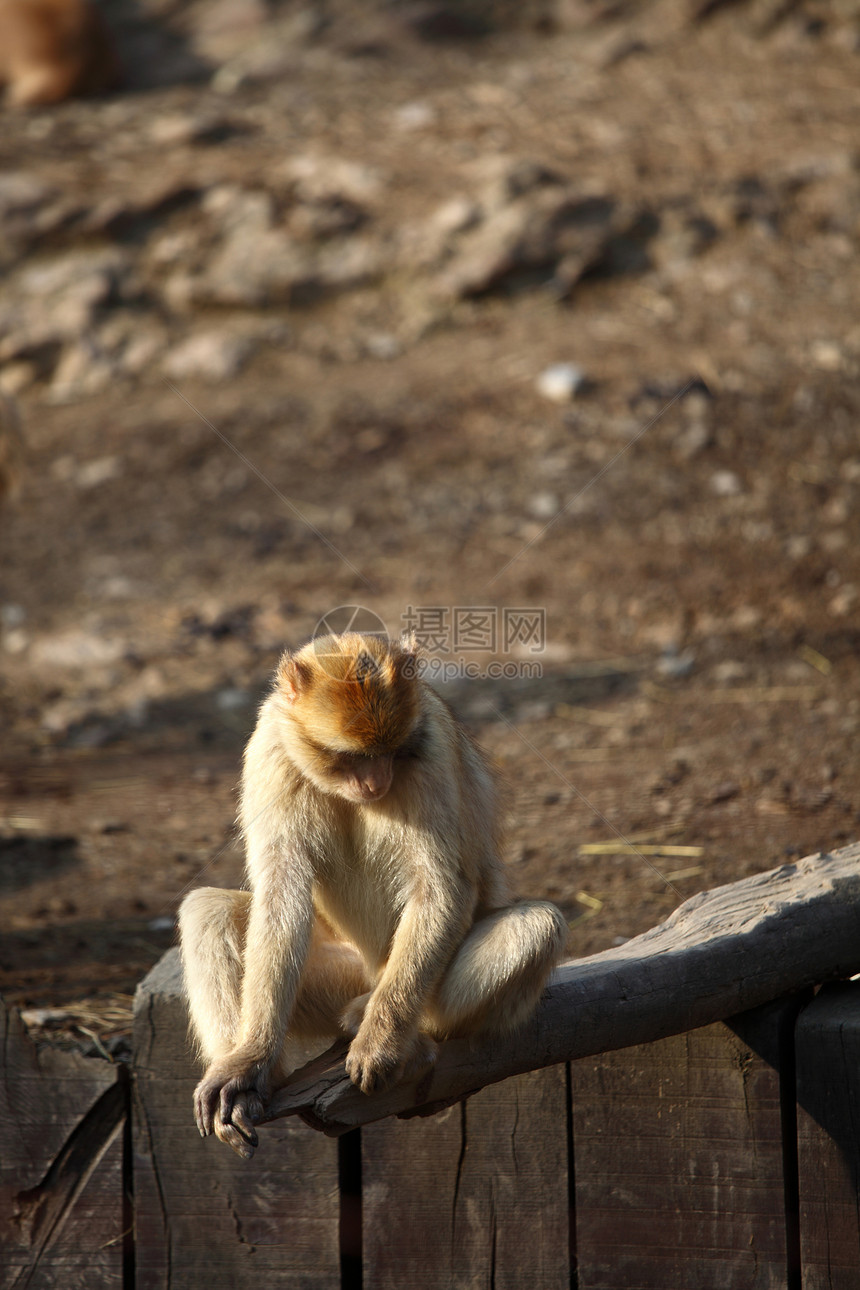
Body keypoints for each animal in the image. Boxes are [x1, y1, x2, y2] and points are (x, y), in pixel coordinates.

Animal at [180, 634, 572, 1161]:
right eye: (349, 756)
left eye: (389, 750)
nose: (374, 781)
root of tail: (371, 973)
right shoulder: (271, 749)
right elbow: (281, 893)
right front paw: (247, 1062)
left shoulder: (428, 748)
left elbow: (441, 891)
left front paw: (382, 1044)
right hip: (333, 979)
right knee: (209, 908)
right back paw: (254, 1082)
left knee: (537, 926)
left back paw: (402, 1034)